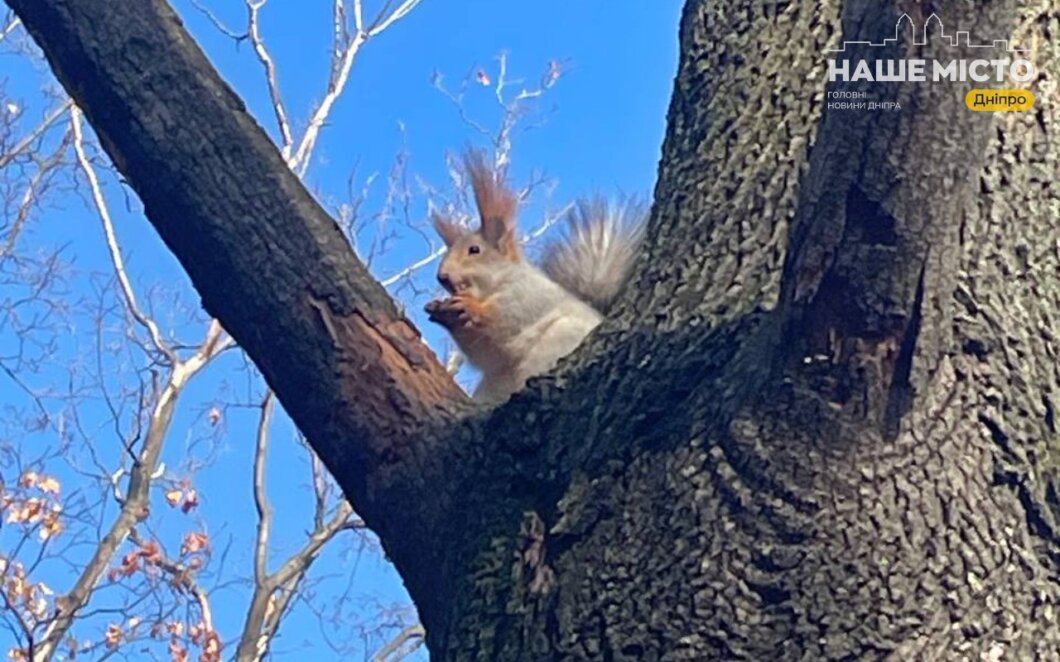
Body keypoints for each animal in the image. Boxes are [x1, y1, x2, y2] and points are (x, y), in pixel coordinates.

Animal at [423, 149, 644, 402]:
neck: (491, 287)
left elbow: (505, 318)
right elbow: (484, 351)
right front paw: (442, 312)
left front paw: (469, 307)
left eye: (474, 250)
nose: (442, 276)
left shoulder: (527, 296)